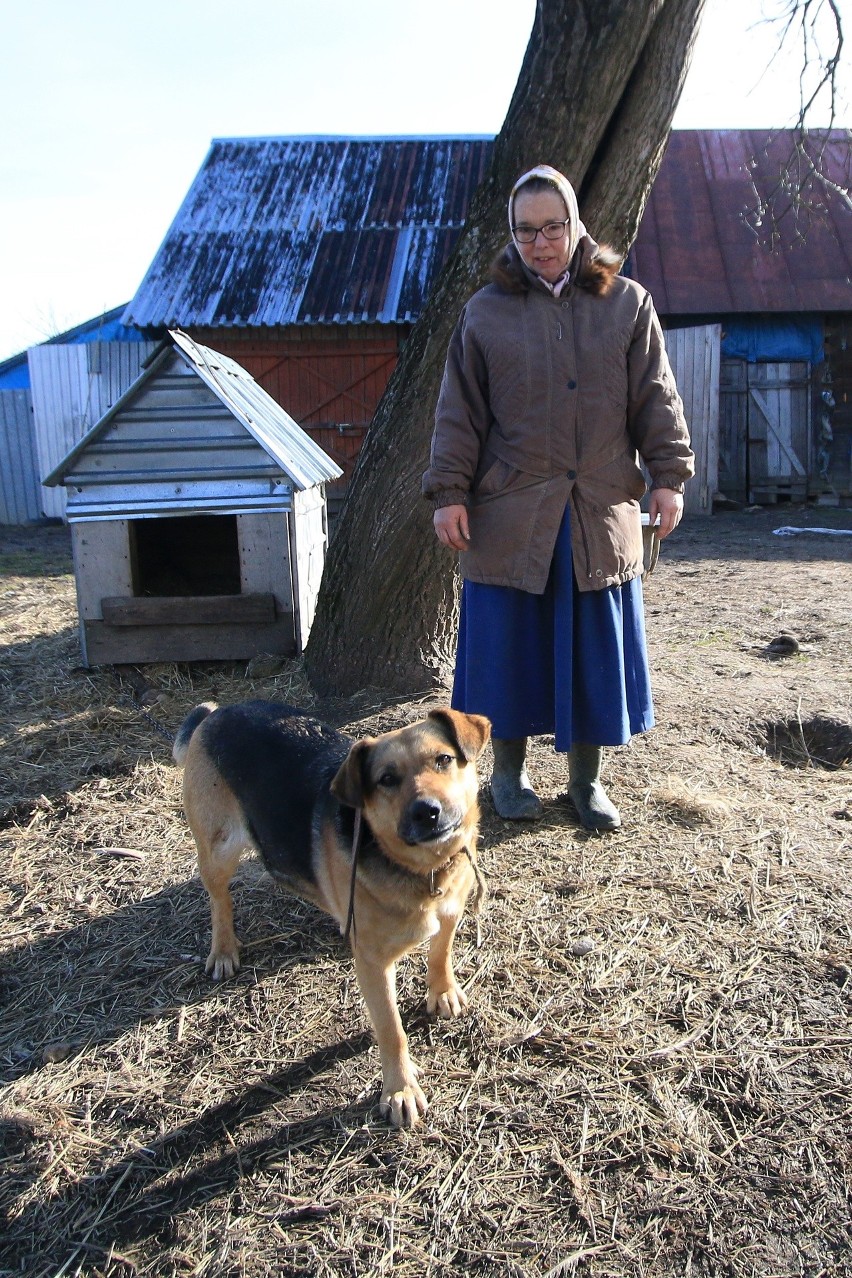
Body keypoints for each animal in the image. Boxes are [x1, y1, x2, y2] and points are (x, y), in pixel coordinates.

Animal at [173, 700, 490, 1129]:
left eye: (443, 760)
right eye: (386, 779)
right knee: (219, 899)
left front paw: (441, 991)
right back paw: (223, 949)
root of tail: (218, 712)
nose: (427, 812)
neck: (426, 870)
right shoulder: (373, 964)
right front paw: (400, 1090)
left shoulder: (450, 913)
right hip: (219, 848)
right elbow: (392, 1029)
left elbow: (440, 954)